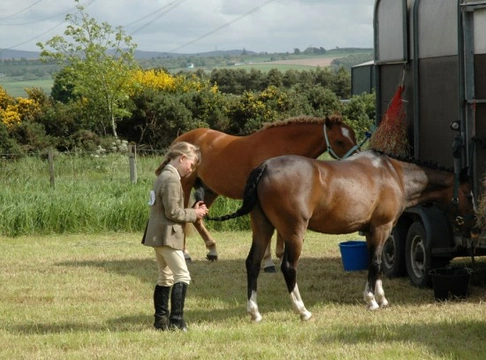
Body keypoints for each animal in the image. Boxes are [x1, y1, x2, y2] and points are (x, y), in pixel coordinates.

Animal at [173, 114, 358, 266]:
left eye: (353, 136)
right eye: (339, 141)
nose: (356, 158)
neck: (282, 145)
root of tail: (180, 139)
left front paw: (280, 255)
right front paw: (269, 261)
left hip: (211, 190)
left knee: (197, 217)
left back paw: (212, 250)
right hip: (184, 186)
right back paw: (185, 254)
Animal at [206, 150, 474, 322]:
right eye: (470, 193)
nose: (472, 221)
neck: (393, 175)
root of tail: (264, 168)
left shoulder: (373, 231)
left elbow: (375, 263)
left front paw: (381, 298)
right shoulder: (381, 227)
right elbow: (375, 263)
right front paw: (372, 301)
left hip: (263, 227)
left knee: (252, 263)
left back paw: (254, 312)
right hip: (294, 232)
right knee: (288, 267)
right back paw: (302, 311)